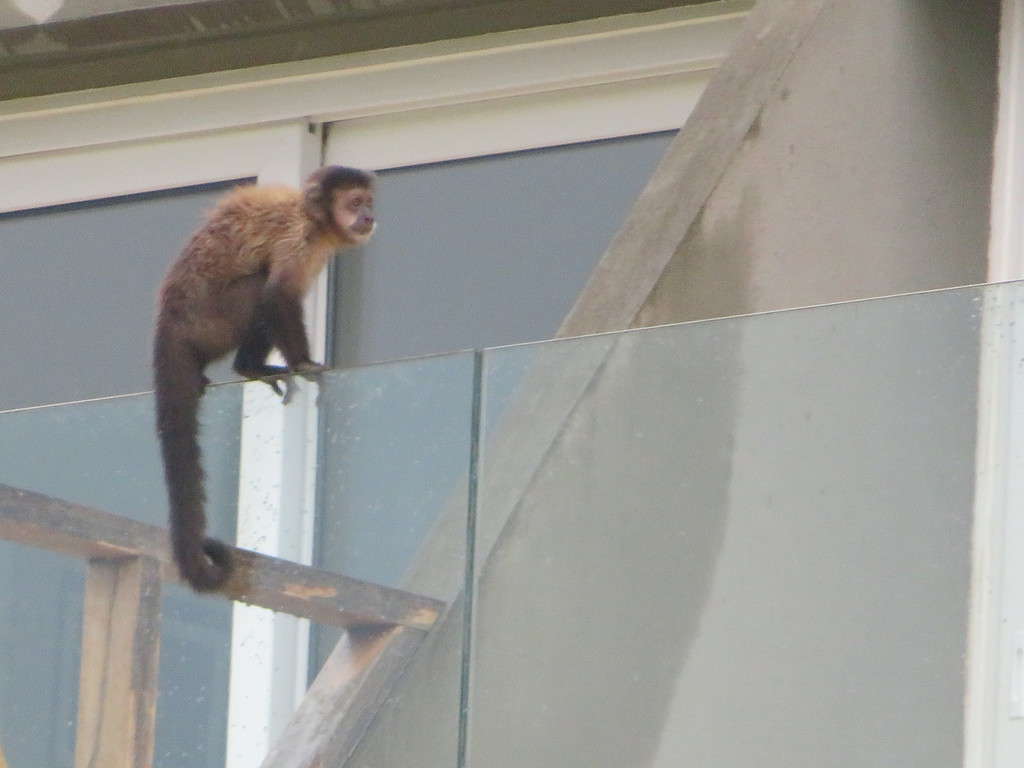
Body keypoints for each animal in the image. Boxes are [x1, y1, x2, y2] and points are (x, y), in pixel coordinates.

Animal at [151, 165, 376, 593]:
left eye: (369, 201)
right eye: (355, 202)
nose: (369, 215)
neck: (316, 220)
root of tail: (168, 322)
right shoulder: (299, 237)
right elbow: (278, 296)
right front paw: (304, 363)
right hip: (211, 321)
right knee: (259, 288)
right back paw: (249, 366)